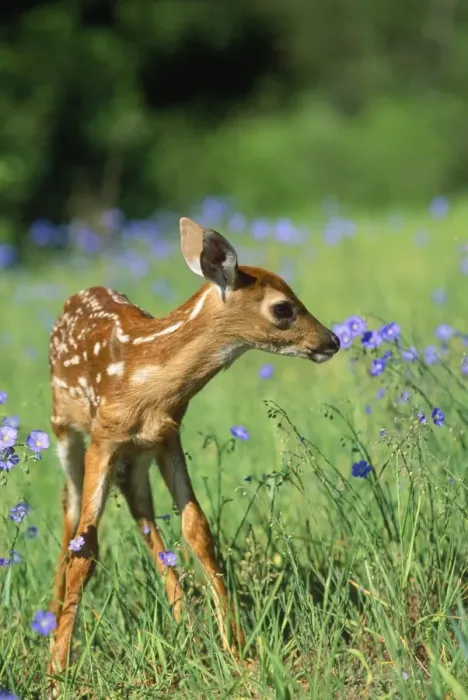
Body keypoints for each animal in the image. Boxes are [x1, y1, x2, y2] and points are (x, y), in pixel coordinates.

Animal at [46, 216, 340, 693]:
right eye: (283, 308)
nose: (332, 340)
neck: (146, 381)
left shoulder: (168, 435)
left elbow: (197, 530)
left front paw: (237, 652)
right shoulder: (103, 440)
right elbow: (84, 550)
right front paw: (58, 673)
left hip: (137, 457)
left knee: (142, 510)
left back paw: (184, 621)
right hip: (63, 426)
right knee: (70, 504)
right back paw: (52, 617)